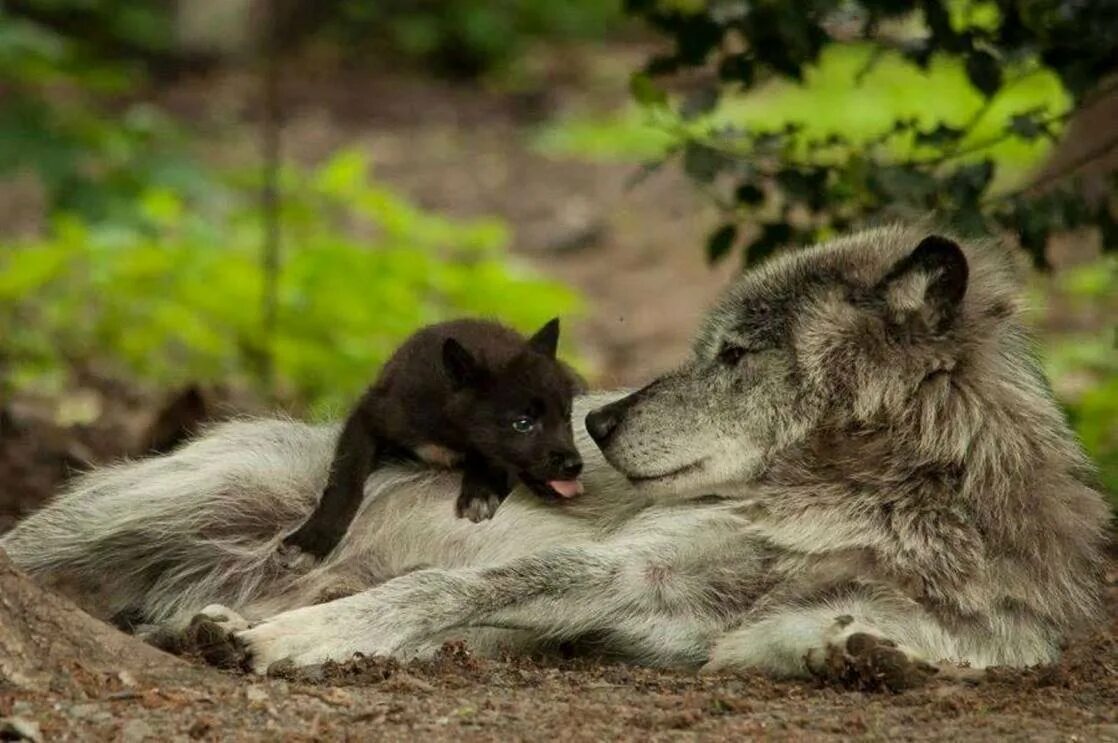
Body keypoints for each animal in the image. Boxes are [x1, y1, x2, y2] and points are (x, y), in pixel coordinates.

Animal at [2, 223, 1109, 688]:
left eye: (734, 356)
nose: (599, 426)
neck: (880, 500)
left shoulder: (699, 629)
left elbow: (875, 637)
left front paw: (864, 649)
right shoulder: (631, 572)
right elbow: (452, 581)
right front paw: (302, 636)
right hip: (160, 498)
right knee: (25, 549)